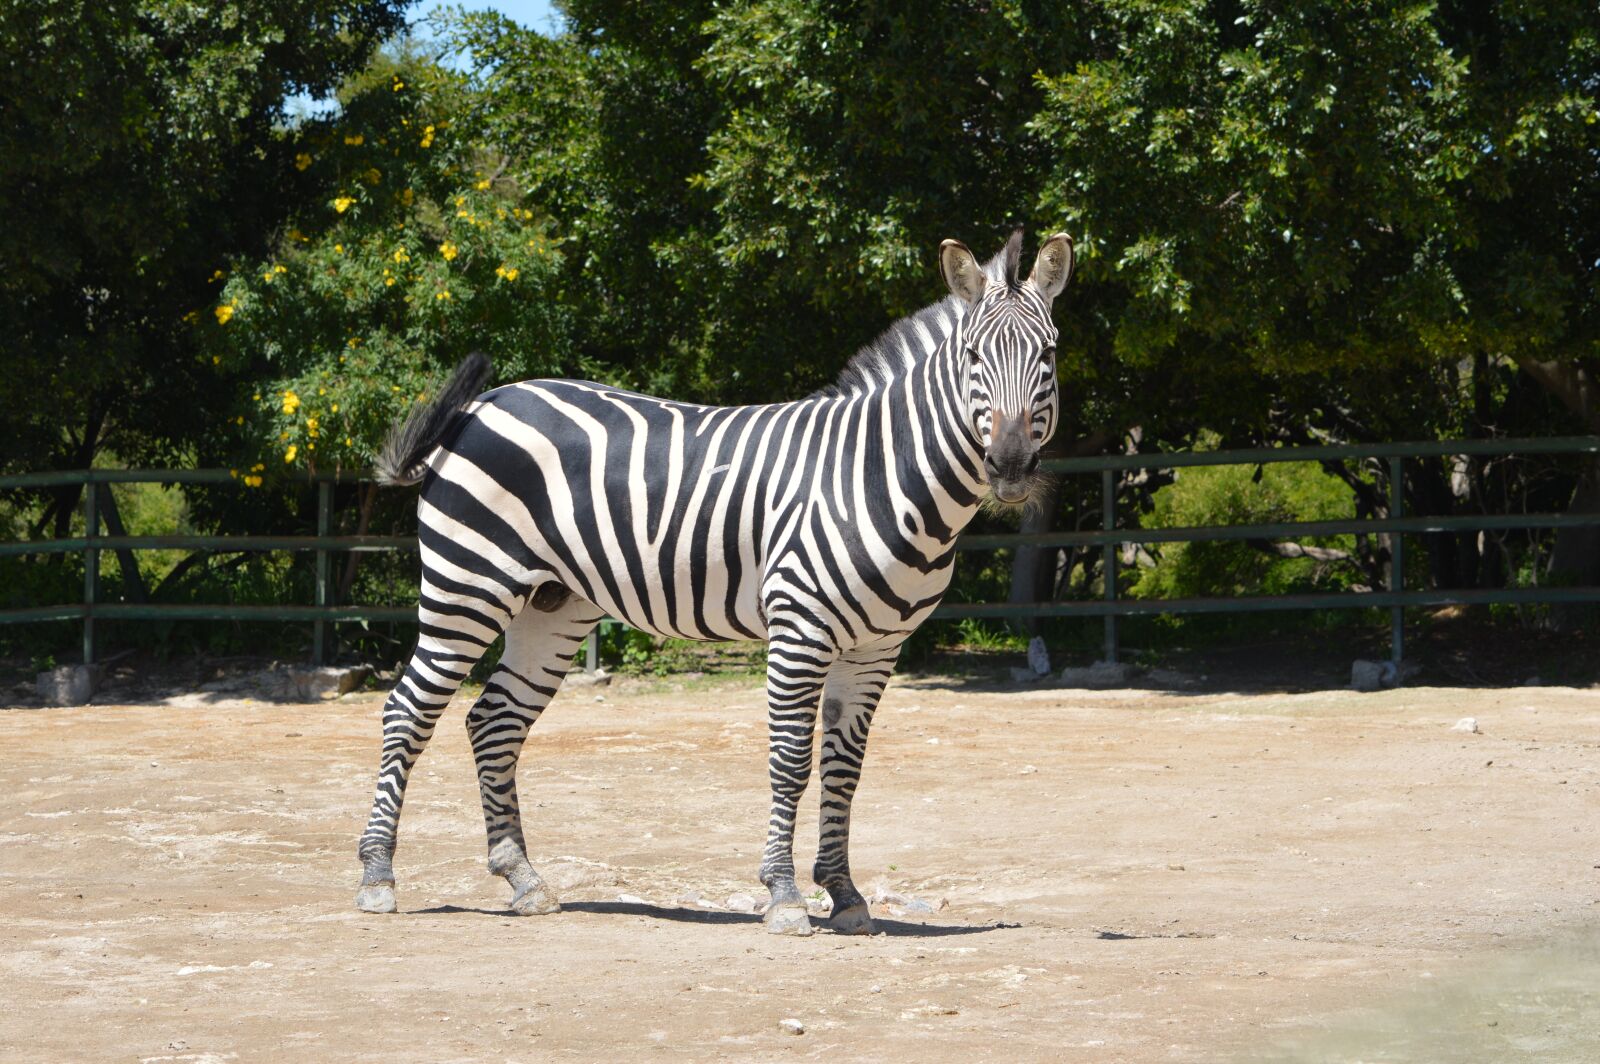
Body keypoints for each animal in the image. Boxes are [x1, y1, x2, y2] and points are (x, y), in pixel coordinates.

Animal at [355, 228, 1074, 935]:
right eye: (974, 357)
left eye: (1048, 355)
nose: (1010, 464)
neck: (880, 474)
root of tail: (484, 404)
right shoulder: (800, 627)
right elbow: (791, 758)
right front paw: (784, 895)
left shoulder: (877, 647)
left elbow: (844, 768)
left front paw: (844, 894)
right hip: (467, 585)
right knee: (407, 710)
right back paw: (377, 877)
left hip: (552, 606)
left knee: (494, 720)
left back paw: (523, 879)